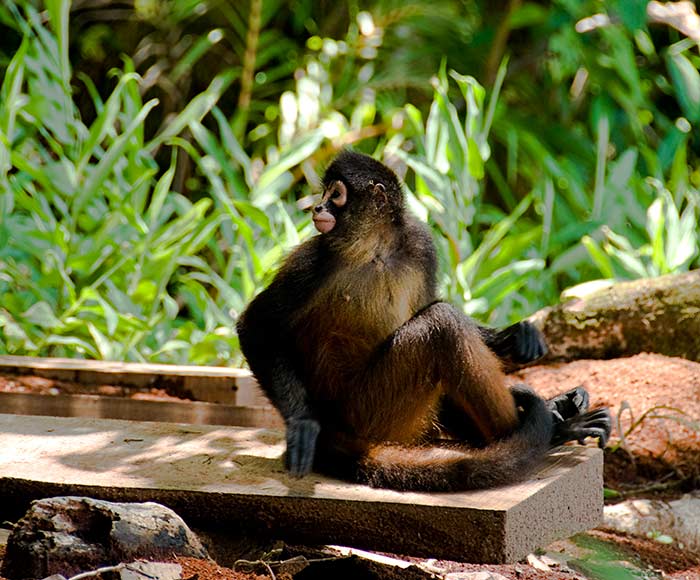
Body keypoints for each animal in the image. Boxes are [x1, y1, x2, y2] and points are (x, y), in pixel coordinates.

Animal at [236, 150, 611, 492]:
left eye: (336, 195)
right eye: (325, 194)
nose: (318, 208)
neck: (376, 250)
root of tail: (335, 425)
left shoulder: (420, 243)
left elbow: (429, 301)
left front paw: (516, 336)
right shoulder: (314, 259)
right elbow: (254, 325)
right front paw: (301, 425)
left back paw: (553, 419)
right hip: (371, 410)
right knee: (442, 324)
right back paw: (550, 431)